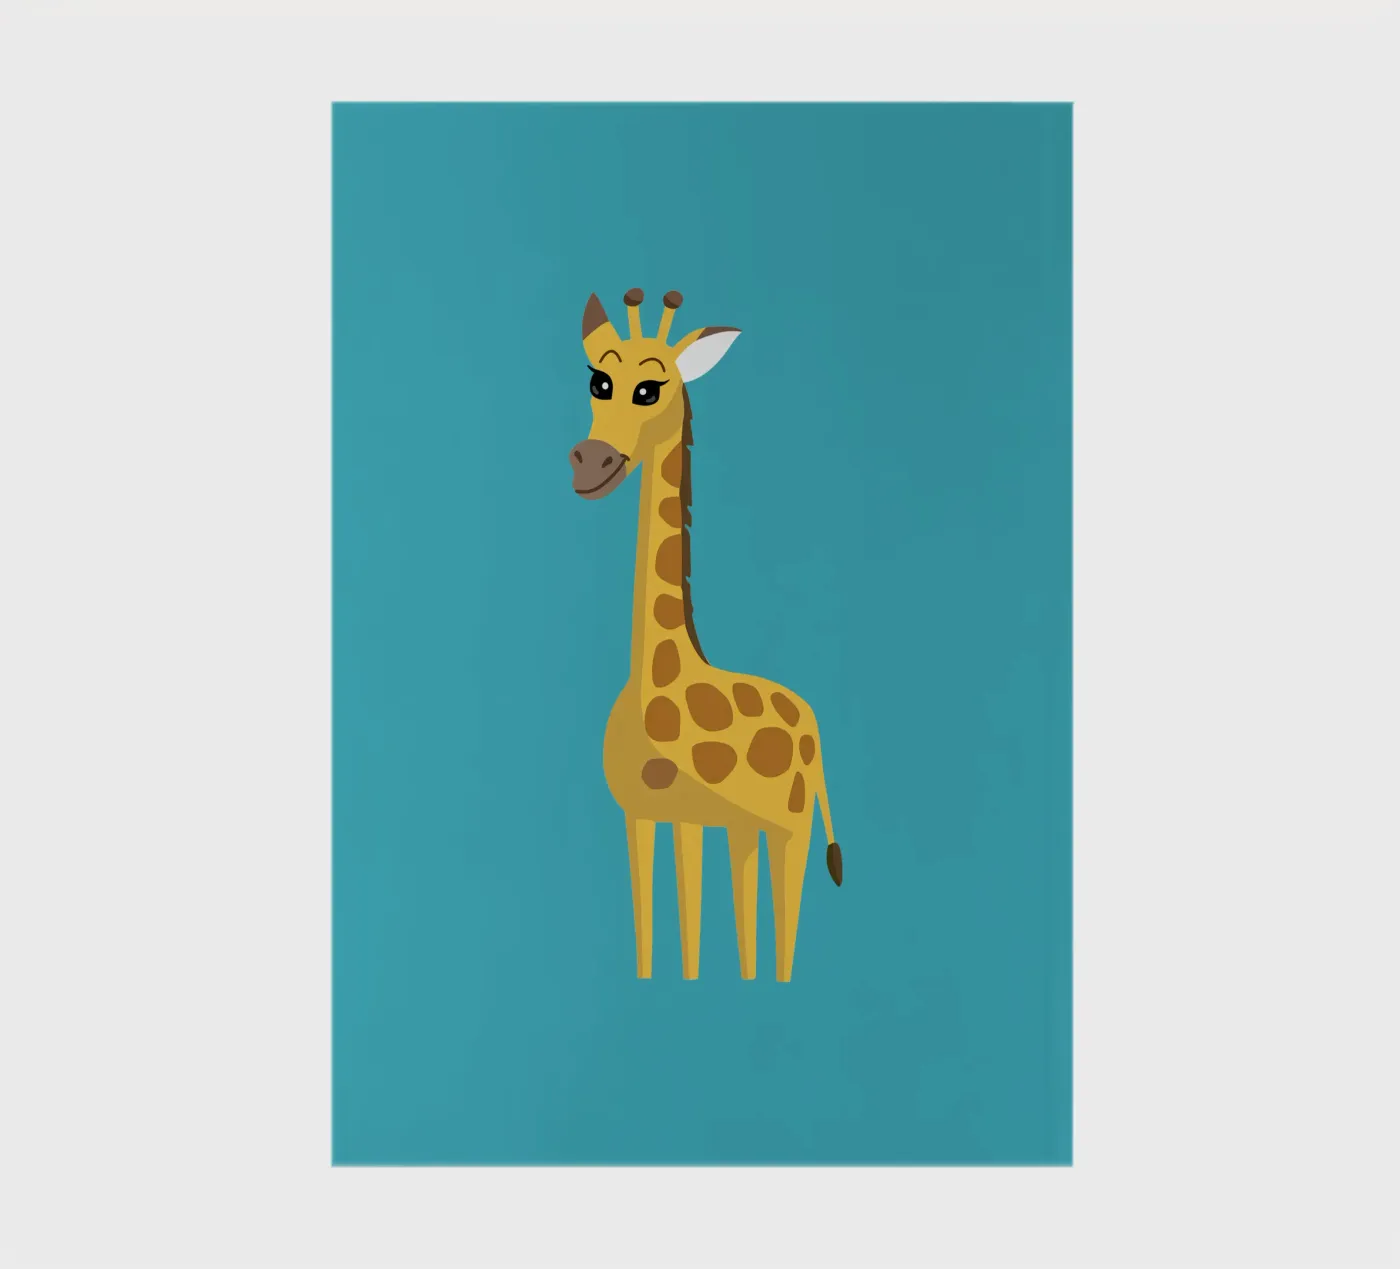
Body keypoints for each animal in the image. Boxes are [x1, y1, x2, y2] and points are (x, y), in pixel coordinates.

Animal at [568, 287, 843, 983]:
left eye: (650, 389)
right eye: (598, 381)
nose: (590, 462)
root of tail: (812, 723)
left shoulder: (698, 818)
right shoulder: (654, 815)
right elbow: (662, 930)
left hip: (794, 824)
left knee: (786, 918)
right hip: (749, 827)